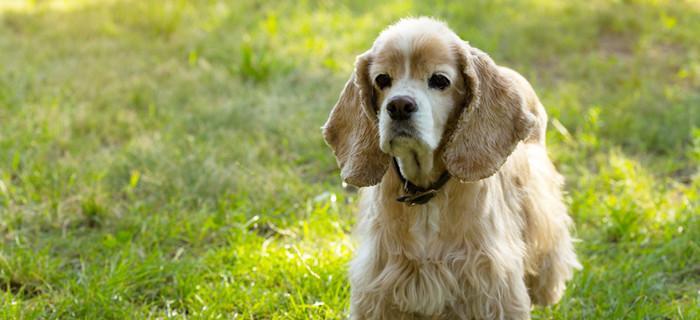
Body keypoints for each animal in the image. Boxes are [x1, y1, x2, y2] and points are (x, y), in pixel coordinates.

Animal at [322, 18, 580, 320]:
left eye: (439, 80)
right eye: (382, 79)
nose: (399, 106)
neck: (426, 192)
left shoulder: (490, 280)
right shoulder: (380, 283)